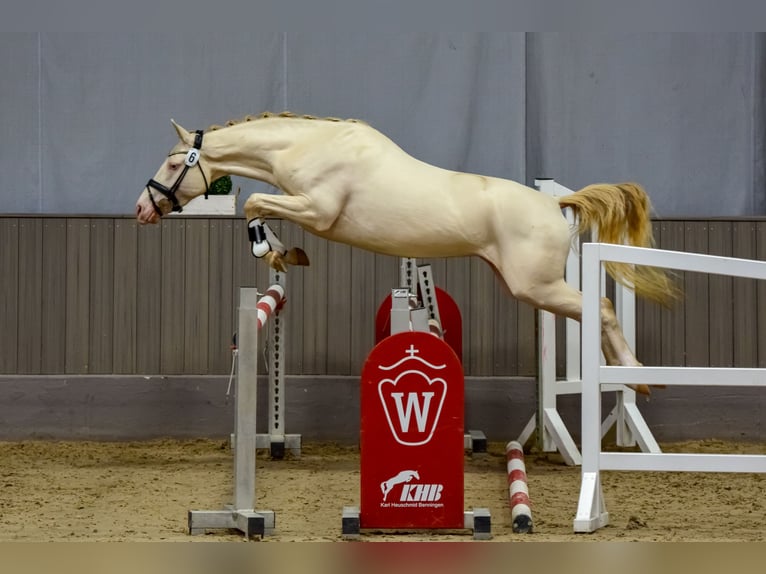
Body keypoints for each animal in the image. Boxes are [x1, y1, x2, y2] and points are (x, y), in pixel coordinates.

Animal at [138, 111, 680, 396]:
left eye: (173, 164)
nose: (143, 208)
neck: (310, 146)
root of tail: (553, 203)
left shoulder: (317, 210)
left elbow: (252, 202)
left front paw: (271, 251)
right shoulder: (304, 207)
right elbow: (260, 207)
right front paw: (282, 253)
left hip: (536, 286)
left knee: (602, 307)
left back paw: (637, 378)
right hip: (532, 286)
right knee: (597, 310)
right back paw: (627, 379)